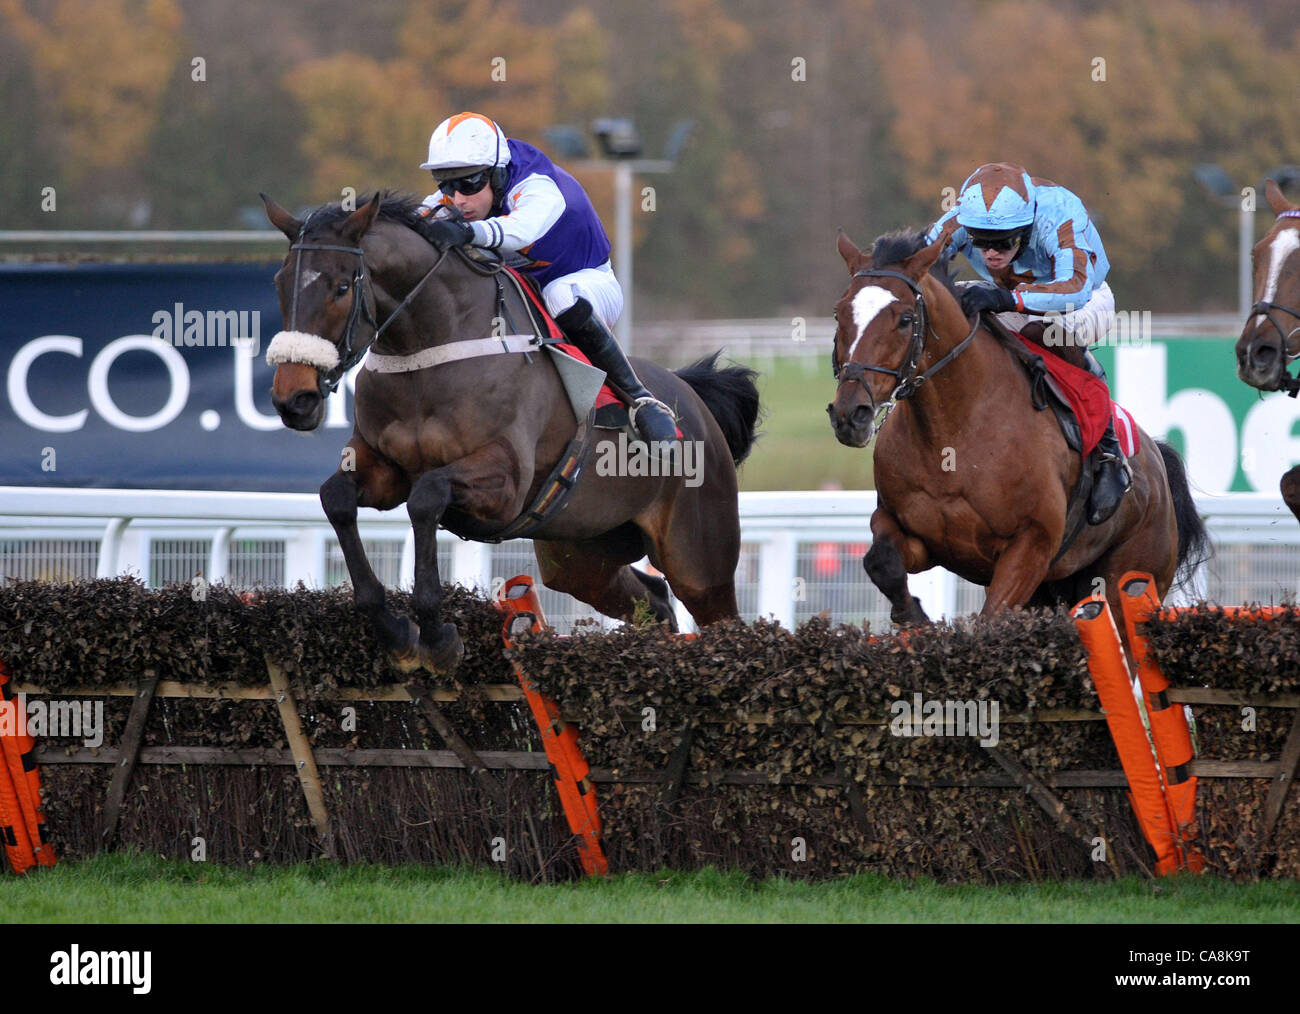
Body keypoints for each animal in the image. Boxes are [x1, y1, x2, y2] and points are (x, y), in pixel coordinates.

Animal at [260, 193, 759, 676]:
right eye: (280, 283)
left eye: (342, 287)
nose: (294, 398)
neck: (431, 352)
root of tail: (695, 402)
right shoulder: (382, 469)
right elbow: (337, 498)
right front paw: (396, 632)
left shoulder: (506, 483)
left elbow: (427, 495)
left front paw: (437, 637)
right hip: (581, 555)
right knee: (653, 601)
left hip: (698, 559)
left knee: (721, 618)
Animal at [826, 226, 1201, 629]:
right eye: (839, 313)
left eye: (905, 319)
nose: (851, 414)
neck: (953, 435)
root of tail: (1158, 461)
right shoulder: (915, 533)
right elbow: (881, 562)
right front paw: (914, 616)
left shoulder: (1031, 546)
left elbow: (989, 622)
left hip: (1130, 574)